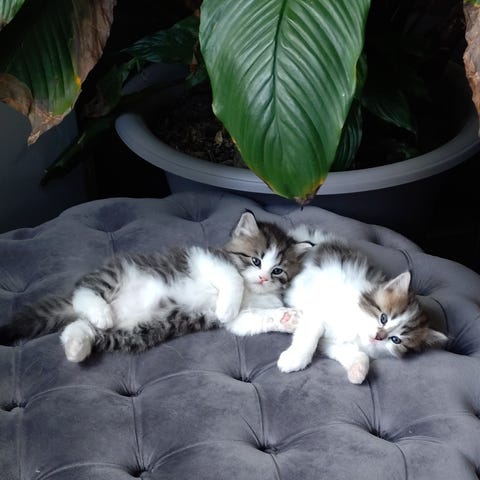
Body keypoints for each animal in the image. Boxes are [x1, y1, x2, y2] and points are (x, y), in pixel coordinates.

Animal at [0, 211, 309, 362]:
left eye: (277, 270)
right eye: (255, 260)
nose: (263, 278)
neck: (253, 292)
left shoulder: (246, 317)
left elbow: (254, 319)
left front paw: (289, 318)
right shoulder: (206, 258)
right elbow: (231, 279)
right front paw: (227, 305)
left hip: (133, 333)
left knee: (78, 327)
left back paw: (77, 348)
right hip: (114, 275)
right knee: (83, 292)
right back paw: (100, 311)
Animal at [272, 226, 449, 384]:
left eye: (396, 340)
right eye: (383, 318)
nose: (378, 337)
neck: (356, 327)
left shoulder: (334, 342)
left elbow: (352, 352)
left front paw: (358, 371)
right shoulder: (319, 311)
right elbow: (309, 336)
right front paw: (294, 359)